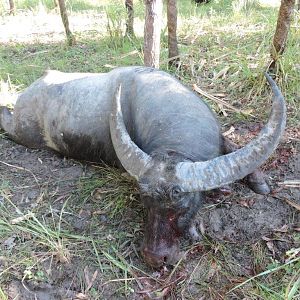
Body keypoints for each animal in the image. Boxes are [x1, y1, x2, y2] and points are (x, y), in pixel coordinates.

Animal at [0, 67, 286, 268]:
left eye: (183, 206)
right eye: (144, 203)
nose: (154, 257)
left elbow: (231, 144)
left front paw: (258, 182)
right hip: (21, 133)